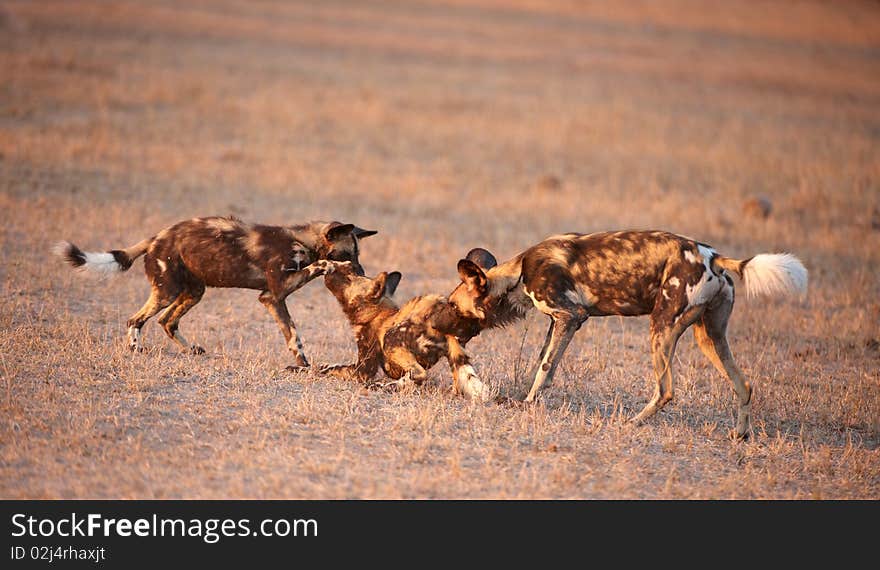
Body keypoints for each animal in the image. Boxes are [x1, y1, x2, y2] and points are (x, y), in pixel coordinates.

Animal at [54, 214, 378, 368]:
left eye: (359, 254)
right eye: (348, 254)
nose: (362, 273)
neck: (303, 241)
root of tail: (157, 236)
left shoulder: (273, 299)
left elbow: (292, 336)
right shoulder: (274, 295)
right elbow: (295, 333)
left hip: (193, 292)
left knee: (166, 321)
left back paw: (191, 350)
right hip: (167, 291)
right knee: (136, 320)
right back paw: (136, 349)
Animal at [320, 260, 492, 400]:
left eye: (349, 277)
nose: (328, 270)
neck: (375, 313)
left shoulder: (363, 369)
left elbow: (335, 369)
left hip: (391, 339)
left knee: (419, 373)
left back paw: (385, 387)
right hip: (454, 357)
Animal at [450, 229, 808, 438]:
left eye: (452, 306)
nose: (446, 328)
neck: (518, 273)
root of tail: (713, 257)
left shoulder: (571, 316)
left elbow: (545, 368)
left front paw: (527, 404)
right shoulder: (560, 321)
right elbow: (541, 362)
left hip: (661, 327)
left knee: (666, 390)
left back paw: (631, 423)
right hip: (709, 337)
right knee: (744, 385)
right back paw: (740, 435)